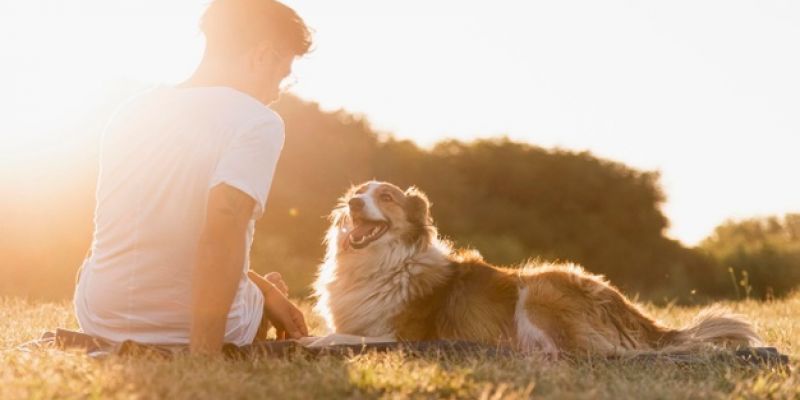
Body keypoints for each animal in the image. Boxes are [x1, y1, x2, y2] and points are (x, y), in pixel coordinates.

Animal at [310, 181, 760, 356]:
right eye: (357, 193)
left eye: (385, 197)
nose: (352, 203)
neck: (383, 263)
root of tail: (629, 310)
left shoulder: (403, 336)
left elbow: (345, 336)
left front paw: (315, 341)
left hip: (539, 288)